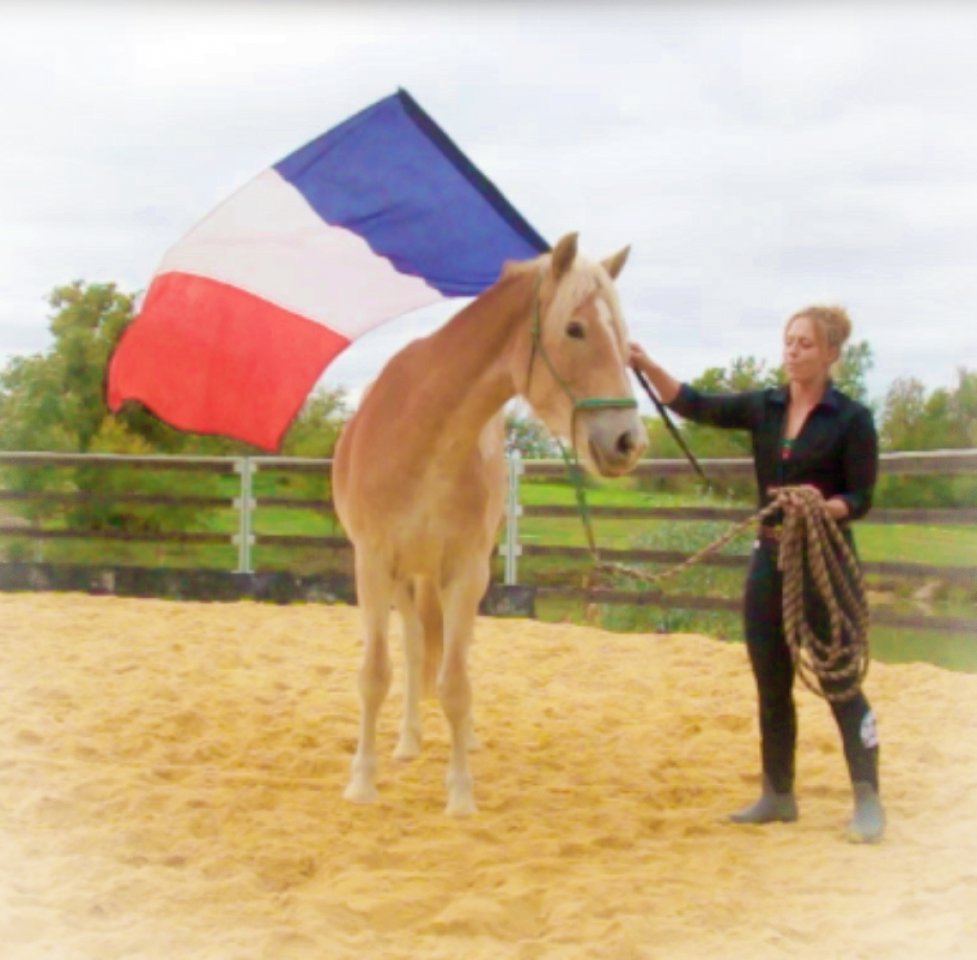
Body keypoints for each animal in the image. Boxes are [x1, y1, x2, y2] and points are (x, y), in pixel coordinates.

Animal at [331, 232, 648, 815]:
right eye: (575, 328)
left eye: (622, 335)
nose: (627, 443)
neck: (423, 431)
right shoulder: (373, 564)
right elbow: (376, 674)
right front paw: (362, 781)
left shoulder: (467, 571)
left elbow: (456, 684)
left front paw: (460, 792)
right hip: (406, 580)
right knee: (413, 649)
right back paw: (407, 741)